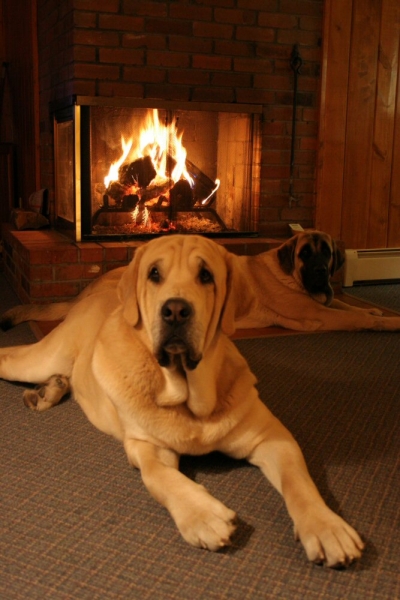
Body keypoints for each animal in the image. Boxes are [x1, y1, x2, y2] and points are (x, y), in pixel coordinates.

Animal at [0, 234, 362, 568]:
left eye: (206, 275)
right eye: (154, 273)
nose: (175, 311)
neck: (190, 397)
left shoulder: (273, 437)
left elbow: (298, 482)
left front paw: (326, 527)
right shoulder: (146, 447)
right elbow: (160, 478)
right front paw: (204, 516)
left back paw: (50, 390)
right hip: (43, 357)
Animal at [3, 231, 400, 336]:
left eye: (327, 253)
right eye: (305, 254)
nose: (320, 273)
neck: (288, 275)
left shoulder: (327, 302)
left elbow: (353, 304)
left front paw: (381, 312)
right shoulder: (319, 315)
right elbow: (358, 316)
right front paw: (387, 321)